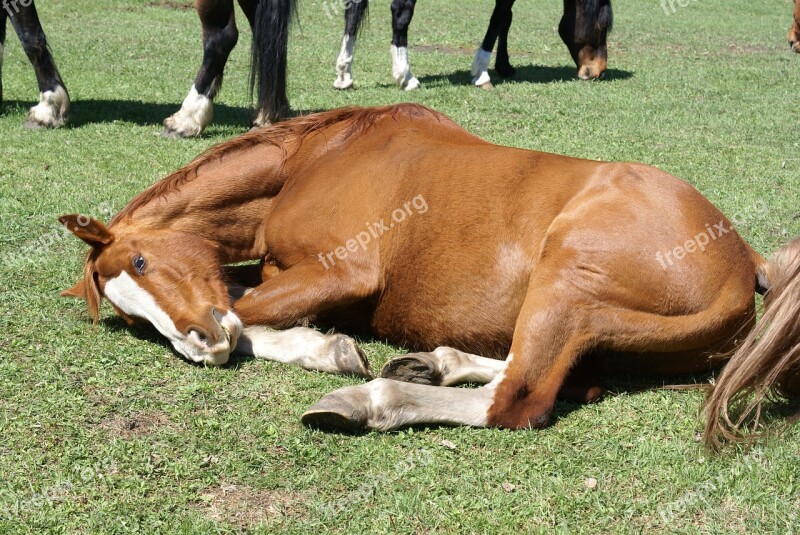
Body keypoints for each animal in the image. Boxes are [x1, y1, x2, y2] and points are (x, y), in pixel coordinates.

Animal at [61, 102, 800, 446]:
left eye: (142, 260)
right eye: (129, 312)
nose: (197, 346)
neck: (318, 156)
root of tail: (744, 260)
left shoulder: (344, 272)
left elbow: (245, 316)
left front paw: (328, 353)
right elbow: (244, 304)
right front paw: (326, 346)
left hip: (566, 277)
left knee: (518, 399)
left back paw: (372, 400)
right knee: (544, 375)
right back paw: (431, 364)